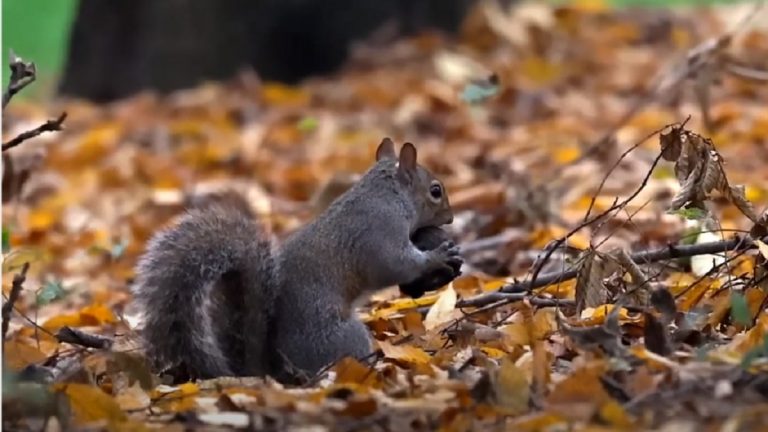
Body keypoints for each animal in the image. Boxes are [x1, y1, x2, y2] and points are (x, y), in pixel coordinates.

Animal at [130, 138, 462, 382]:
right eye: (435, 191)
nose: (450, 217)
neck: (388, 194)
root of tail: (267, 368)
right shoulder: (381, 232)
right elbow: (395, 265)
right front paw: (436, 256)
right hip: (342, 337)